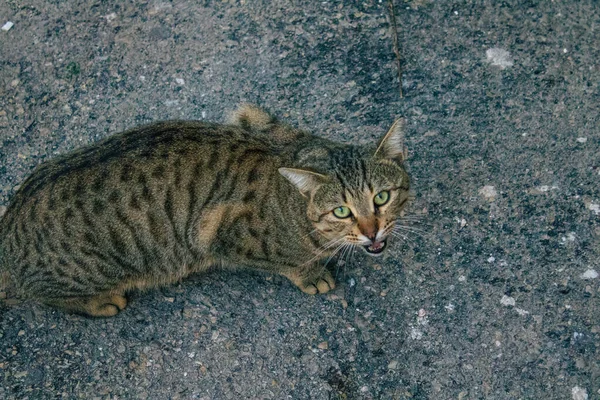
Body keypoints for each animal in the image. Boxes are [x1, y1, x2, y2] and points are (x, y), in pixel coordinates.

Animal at [0, 104, 410, 318]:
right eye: (341, 211)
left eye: (381, 198)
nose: (372, 231)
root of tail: (7, 230)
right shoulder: (214, 232)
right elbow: (288, 263)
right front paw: (311, 274)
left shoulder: (251, 115)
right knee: (45, 296)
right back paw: (102, 302)